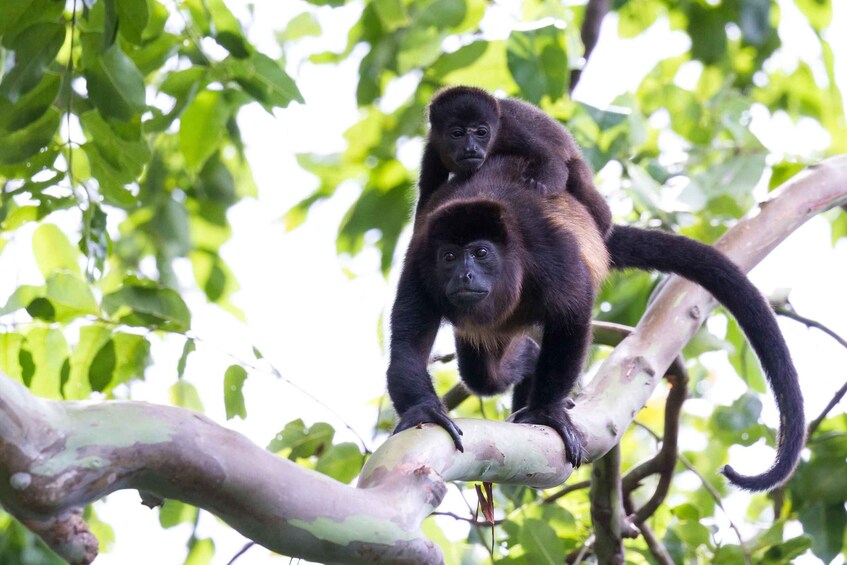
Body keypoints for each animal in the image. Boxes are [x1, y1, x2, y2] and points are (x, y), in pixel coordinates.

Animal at [388, 154, 804, 490]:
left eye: (480, 253)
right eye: (449, 257)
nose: (465, 275)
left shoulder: (547, 251)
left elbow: (572, 313)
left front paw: (546, 412)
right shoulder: (419, 265)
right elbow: (407, 342)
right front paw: (424, 411)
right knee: (484, 376)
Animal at [416, 84, 608, 236]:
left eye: (481, 132)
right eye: (457, 133)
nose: (471, 148)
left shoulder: (509, 129)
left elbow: (551, 161)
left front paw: (537, 187)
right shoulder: (433, 148)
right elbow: (426, 195)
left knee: (578, 177)